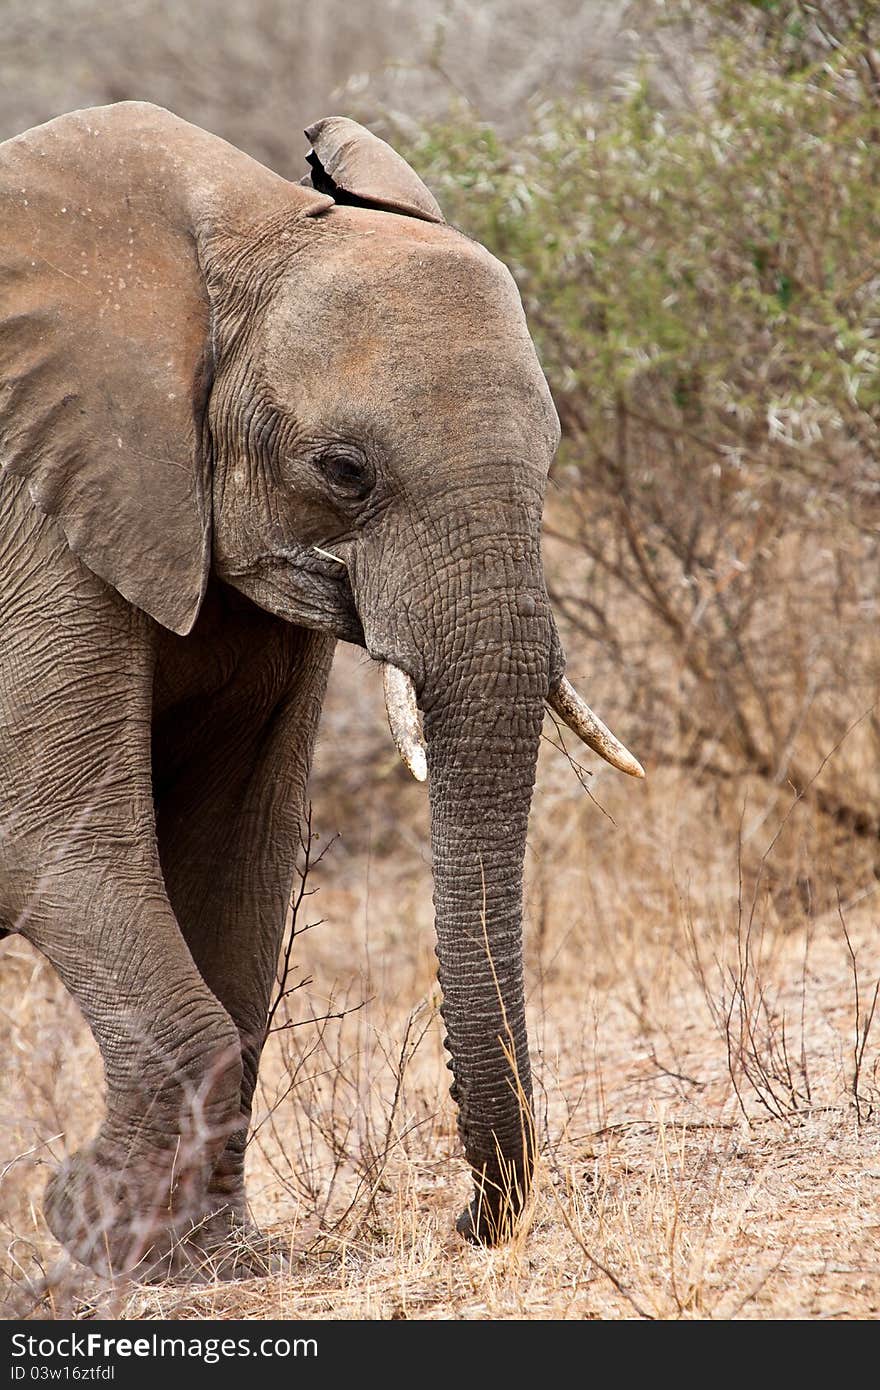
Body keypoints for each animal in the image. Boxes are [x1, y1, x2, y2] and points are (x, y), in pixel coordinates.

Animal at [0, 102, 639, 1284]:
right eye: (344, 471)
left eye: (552, 454)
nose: (469, 1222)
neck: (229, 239)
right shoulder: (26, 524)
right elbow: (50, 832)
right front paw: (93, 1229)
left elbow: (237, 852)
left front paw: (202, 1256)